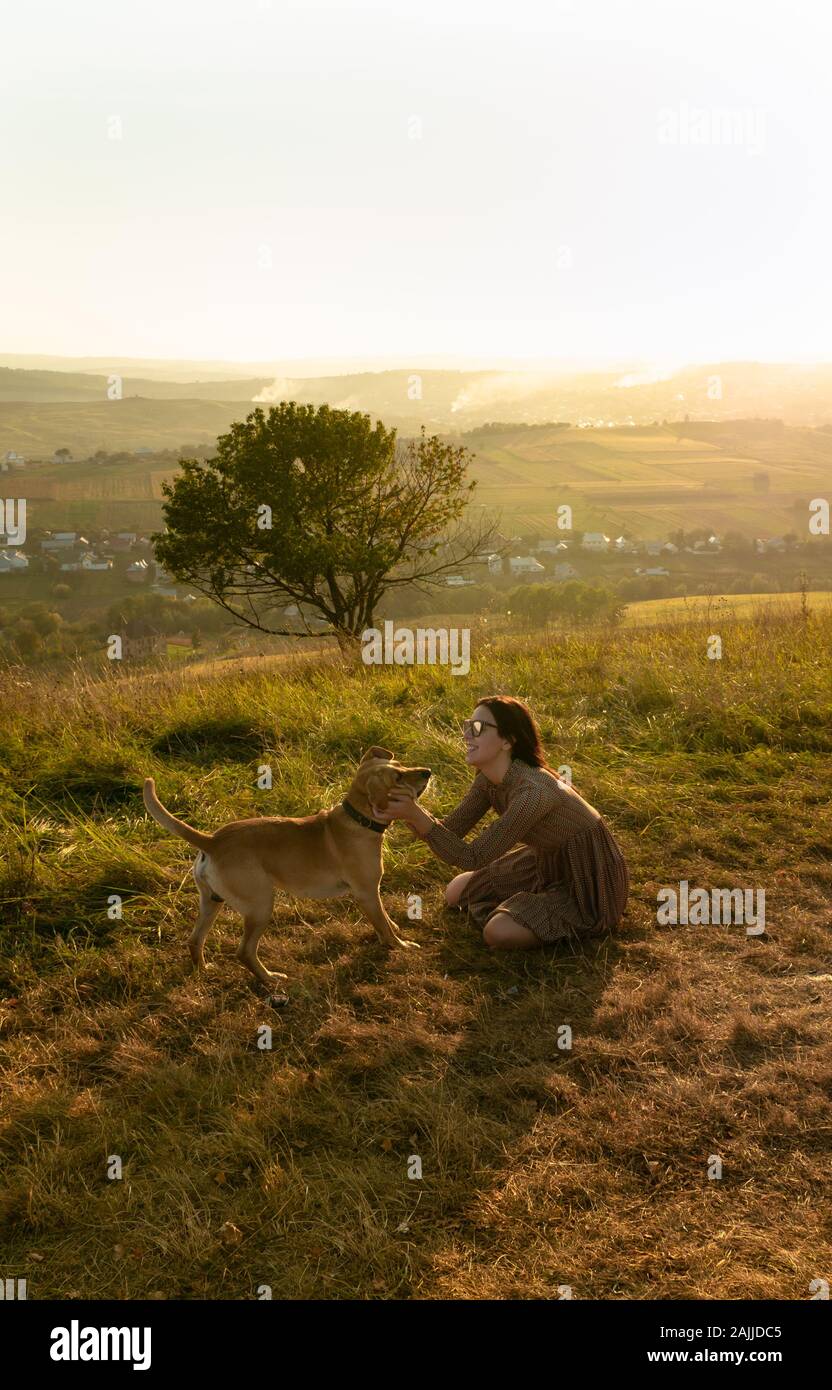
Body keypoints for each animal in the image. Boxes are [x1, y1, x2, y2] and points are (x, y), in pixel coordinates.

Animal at [142, 750, 430, 989]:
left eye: (400, 764)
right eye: (398, 776)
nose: (427, 771)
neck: (358, 819)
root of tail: (212, 841)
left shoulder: (371, 894)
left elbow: (385, 921)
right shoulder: (367, 892)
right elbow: (384, 926)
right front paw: (401, 945)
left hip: (212, 903)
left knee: (195, 940)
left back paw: (204, 970)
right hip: (260, 906)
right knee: (244, 952)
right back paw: (269, 978)